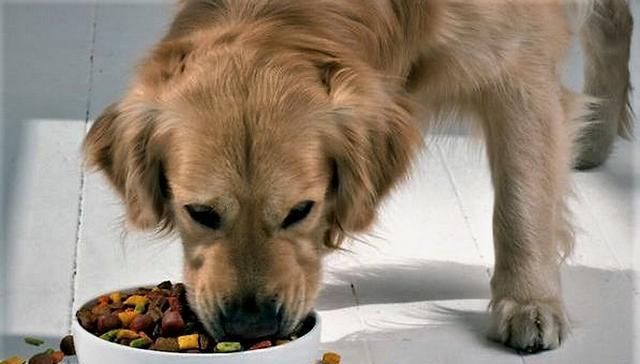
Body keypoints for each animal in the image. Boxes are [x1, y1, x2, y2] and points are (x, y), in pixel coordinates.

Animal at [82, 0, 632, 352]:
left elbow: (521, 200)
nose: (251, 324)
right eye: (199, 213)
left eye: (300, 210)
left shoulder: (518, 64)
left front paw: (529, 302)